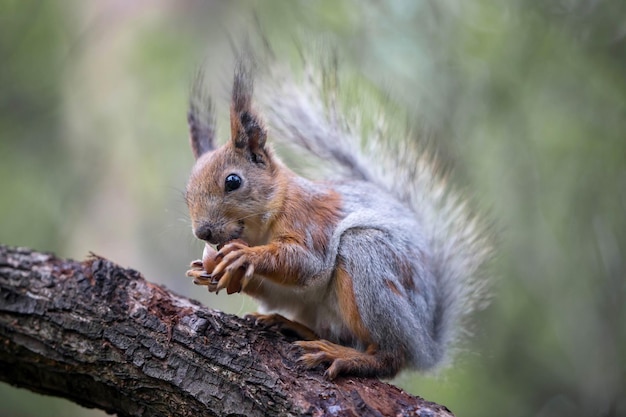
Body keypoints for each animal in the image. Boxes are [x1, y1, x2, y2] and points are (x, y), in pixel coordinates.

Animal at [183, 53, 490, 378]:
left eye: (233, 181)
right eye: (187, 192)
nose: (202, 232)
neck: (262, 227)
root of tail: (425, 347)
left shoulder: (309, 221)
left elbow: (305, 263)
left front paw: (245, 256)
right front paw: (207, 272)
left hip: (370, 264)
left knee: (390, 357)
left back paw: (344, 355)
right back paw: (291, 326)